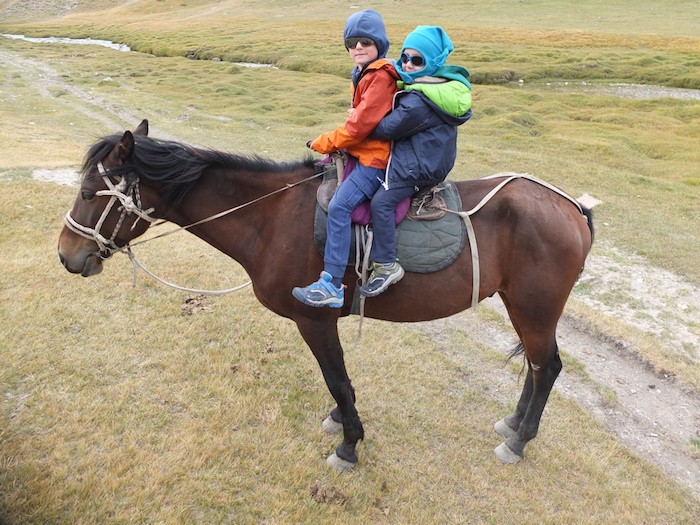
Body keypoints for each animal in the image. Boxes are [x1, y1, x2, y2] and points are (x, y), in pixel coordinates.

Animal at [58, 121, 592, 468]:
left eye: (87, 194)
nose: (66, 255)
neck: (270, 217)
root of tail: (572, 207)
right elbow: (342, 384)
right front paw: (341, 421)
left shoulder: (314, 320)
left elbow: (337, 379)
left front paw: (350, 444)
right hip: (523, 307)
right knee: (537, 367)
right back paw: (513, 425)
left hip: (535, 309)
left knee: (549, 368)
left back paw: (519, 441)